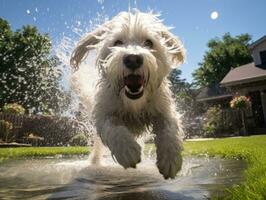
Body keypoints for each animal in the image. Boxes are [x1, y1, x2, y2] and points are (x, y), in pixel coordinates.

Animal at [70, 11, 185, 180]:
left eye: (148, 42)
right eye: (117, 42)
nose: (133, 59)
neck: (133, 104)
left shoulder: (163, 109)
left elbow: (169, 128)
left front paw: (170, 158)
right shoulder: (104, 112)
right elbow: (112, 127)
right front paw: (127, 150)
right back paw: (95, 162)